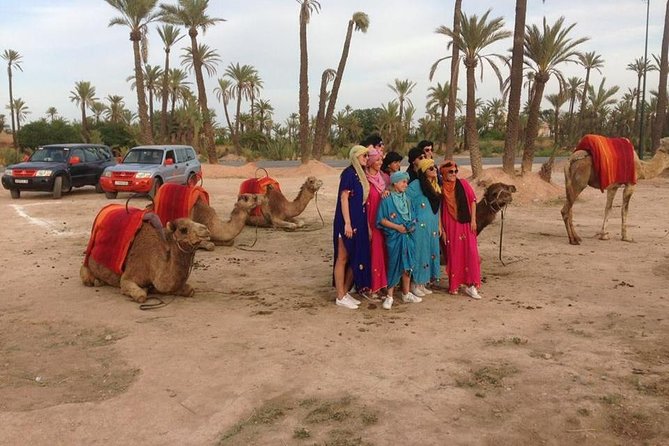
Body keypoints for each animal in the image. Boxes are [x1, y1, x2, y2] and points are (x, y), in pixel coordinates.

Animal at [81, 204, 211, 302]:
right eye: (183, 229)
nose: (205, 229)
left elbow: (190, 290)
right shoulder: (127, 278)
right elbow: (141, 296)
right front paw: (144, 291)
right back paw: (96, 281)